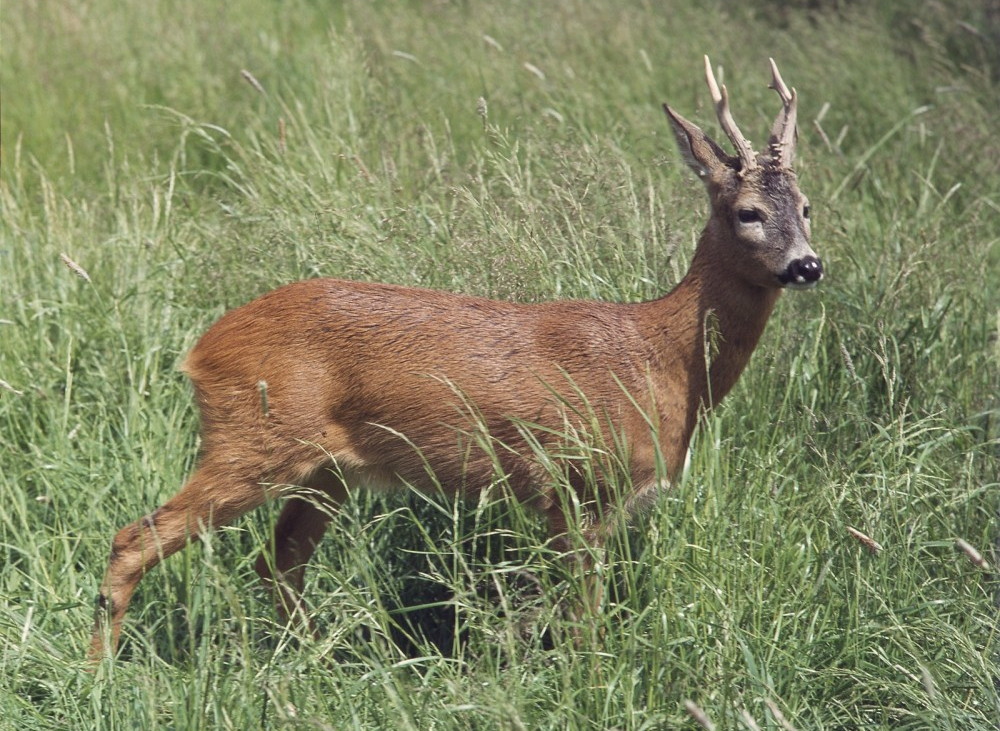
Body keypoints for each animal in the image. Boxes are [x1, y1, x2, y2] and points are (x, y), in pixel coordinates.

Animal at [88, 58, 820, 664]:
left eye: (809, 206)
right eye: (748, 212)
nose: (807, 265)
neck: (662, 359)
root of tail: (200, 350)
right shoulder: (577, 484)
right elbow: (582, 616)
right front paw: (592, 683)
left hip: (325, 471)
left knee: (278, 560)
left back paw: (317, 664)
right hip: (253, 440)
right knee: (134, 539)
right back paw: (100, 673)